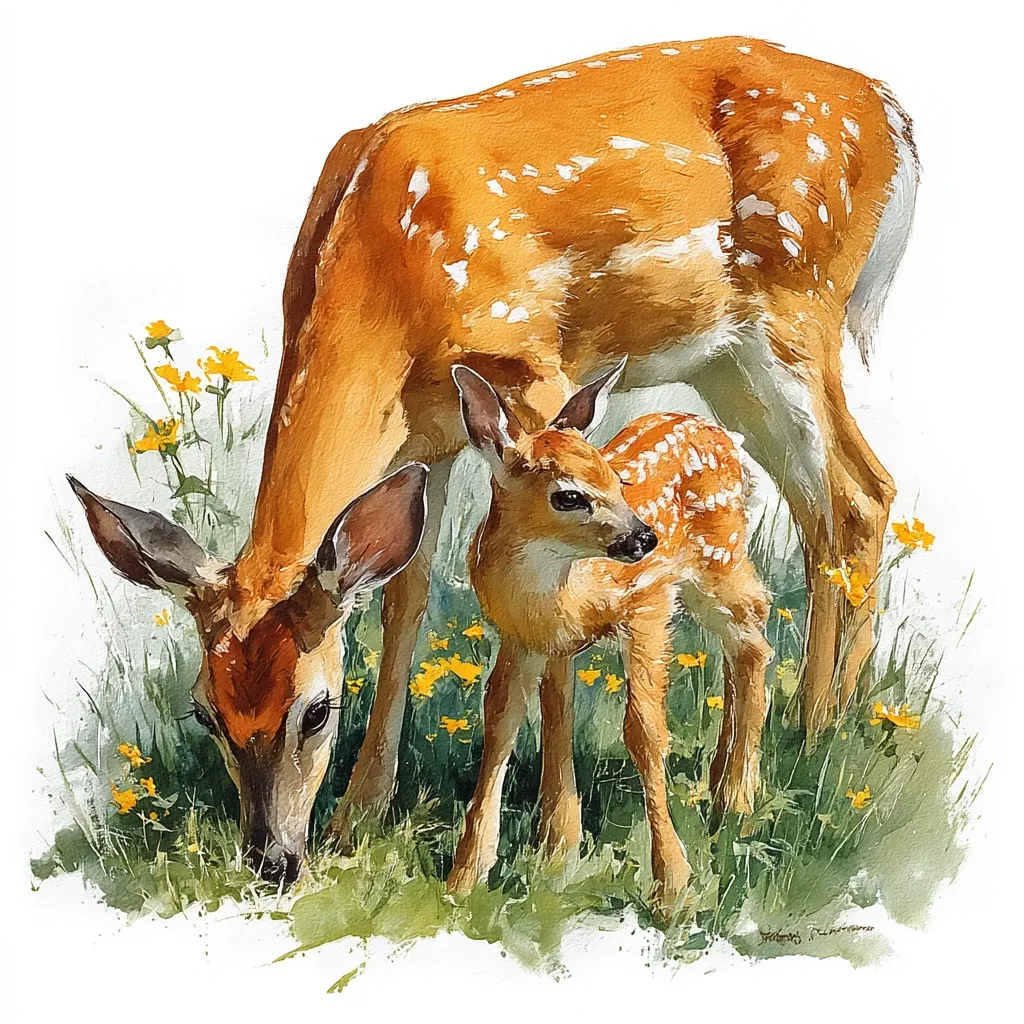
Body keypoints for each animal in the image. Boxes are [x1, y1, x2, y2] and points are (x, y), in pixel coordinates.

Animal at [446, 361, 772, 904]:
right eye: (568, 496)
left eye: (618, 480)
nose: (645, 538)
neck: (561, 592)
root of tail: (727, 437)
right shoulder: (525, 639)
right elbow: (508, 723)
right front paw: (470, 876)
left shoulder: (648, 604)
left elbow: (644, 731)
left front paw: (673, 886)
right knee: (743, 644)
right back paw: (719, 785)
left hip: (719, 559)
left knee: (756, 633)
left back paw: (737, 799)